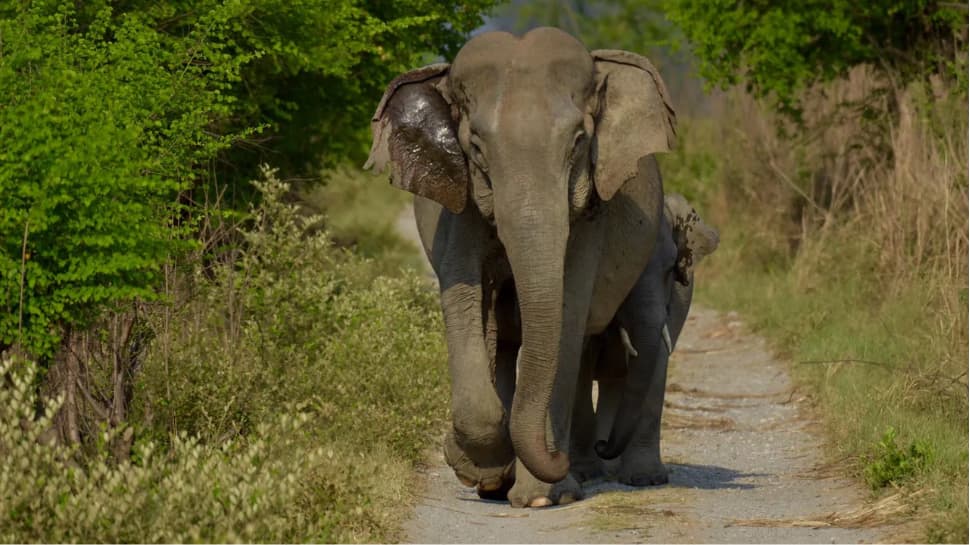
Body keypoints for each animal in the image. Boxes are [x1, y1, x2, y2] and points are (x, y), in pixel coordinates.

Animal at [366, 28, 676, 506]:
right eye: (476, 147)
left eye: (579, 142)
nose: (565, 459)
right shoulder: (460, 203)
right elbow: (463, 297)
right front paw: (478, 466)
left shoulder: (591, 217)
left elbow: (566, 312)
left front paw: (543, 496)